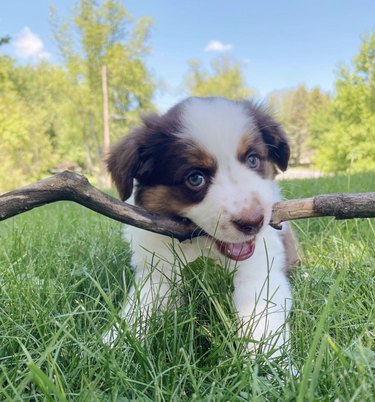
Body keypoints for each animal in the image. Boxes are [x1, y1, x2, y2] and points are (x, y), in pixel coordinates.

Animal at [104, 96, 298, 354]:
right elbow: (140, 307)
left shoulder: (260, 270)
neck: (201, 245)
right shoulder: (157, 270)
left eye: (253, 159)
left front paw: (268, 360)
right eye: (195, 178)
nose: (253, 222)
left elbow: (262, 318)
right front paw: (114, 343)